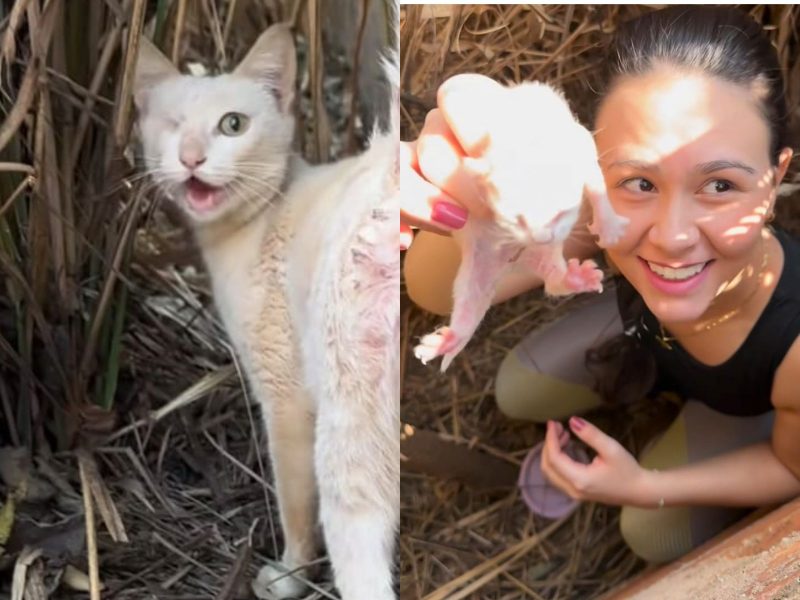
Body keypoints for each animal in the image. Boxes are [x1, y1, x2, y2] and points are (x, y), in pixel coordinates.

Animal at [135, 21, 404, 596]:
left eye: (232, 125)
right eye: (172, 126)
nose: (191, 158)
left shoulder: (284, 396)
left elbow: (294, 505)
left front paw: (292, 573)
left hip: (346, 425)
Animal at [416, 75, 628, 370]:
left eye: (561, 212)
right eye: (516, 218)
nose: (541, 237)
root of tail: (516, 260)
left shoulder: (581, 144)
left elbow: (597, 185)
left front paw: (608, 225)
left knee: (552, 280)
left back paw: (573, 278)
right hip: (480, 262)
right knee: (472, 299)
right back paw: (449, 339)